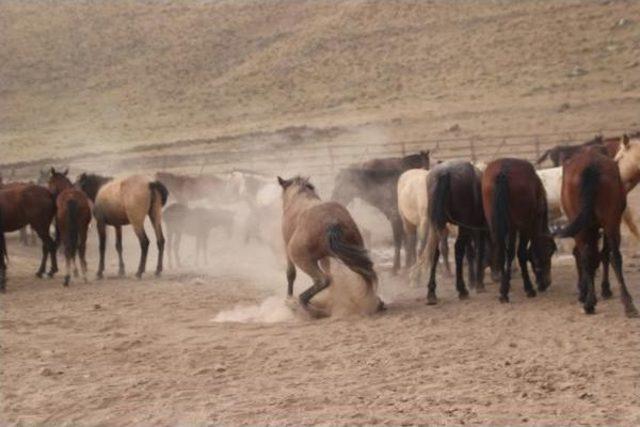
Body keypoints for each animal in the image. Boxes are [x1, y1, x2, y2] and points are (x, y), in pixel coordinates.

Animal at [480, 158, 556, 304]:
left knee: (501, 251)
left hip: (495, 224)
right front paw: (529, 288)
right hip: (521, 226)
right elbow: (521, 254)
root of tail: (503, 171)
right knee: (518, 253)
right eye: (549, 253)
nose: (547, 282)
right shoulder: (524, 227)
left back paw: (503, 291)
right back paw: (525, 289)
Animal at [556, 150, 636, 318]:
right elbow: (603, 255)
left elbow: (590, 257)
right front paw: (603, 289)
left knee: (588, 256)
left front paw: (589, 291)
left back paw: (590, 303)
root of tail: (590, 166)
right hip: (611, 221)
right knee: (615, 257)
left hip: (585, 227)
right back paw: (628, 304)